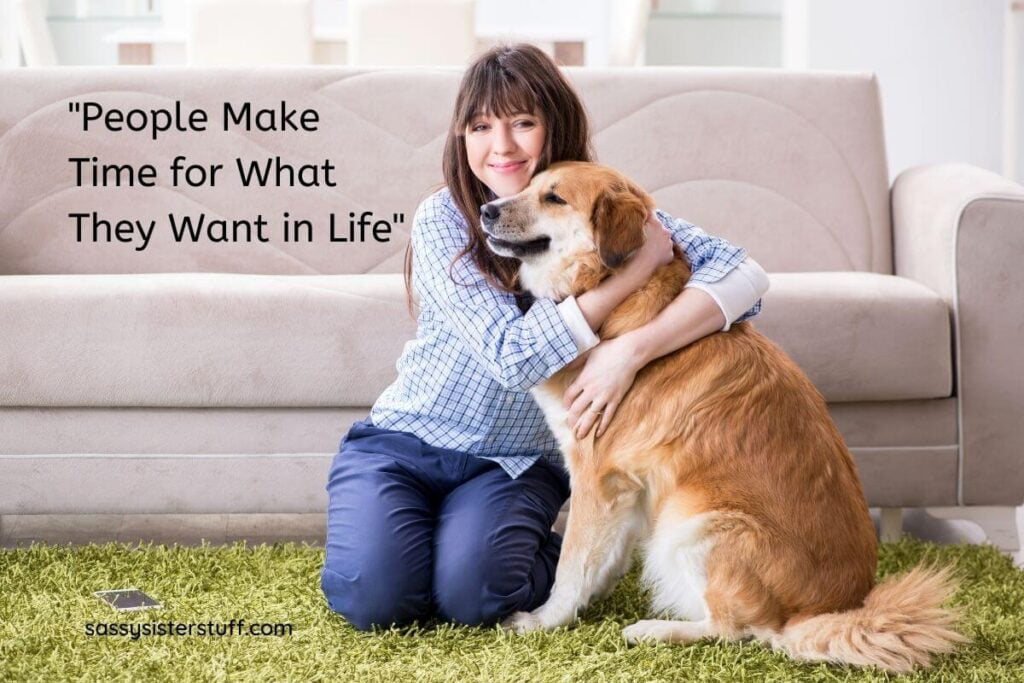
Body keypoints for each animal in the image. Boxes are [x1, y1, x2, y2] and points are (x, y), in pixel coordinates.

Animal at [479, 161, 966, 671]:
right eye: (529, 186)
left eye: (554, 198)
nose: (486, 210)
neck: (613, 300)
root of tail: (827, 608)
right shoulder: (629, 487)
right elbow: (604, 555)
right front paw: (593, 596)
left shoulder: (598, 475)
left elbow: (574, 563)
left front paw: (545, 619)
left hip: (695, 524)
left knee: (738, 630)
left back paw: (655, 630)